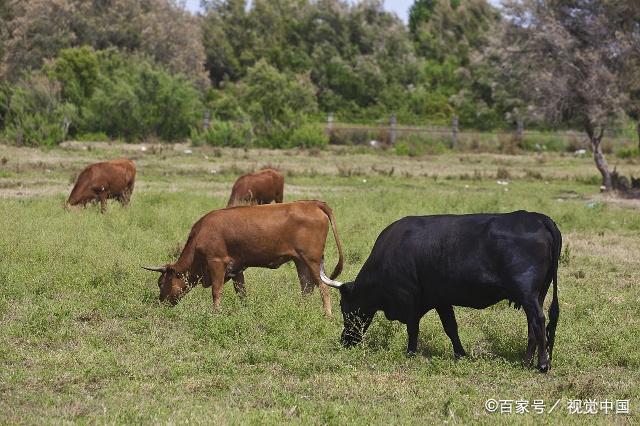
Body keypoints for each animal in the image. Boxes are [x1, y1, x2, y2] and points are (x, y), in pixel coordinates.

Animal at [144, 200, 344, 316]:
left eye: (161, 283)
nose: (160, 302)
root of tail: (312, 203)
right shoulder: (236, 269)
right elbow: (241, 293)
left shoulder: (217, 262)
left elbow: (216, 291)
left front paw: (216, 313)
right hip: (300, 261)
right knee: (306, 287)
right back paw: (300, 309)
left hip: (312, 260)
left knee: (323, 288)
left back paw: (327, 315)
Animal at [322, 211, 564, 372]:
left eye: (344, 307)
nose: (345, 340)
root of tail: (538, 218)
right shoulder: (441, 299)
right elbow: (451, 328)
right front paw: (460, 354)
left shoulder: (409, 298)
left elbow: (413, 328)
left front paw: (410, 353)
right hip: (537, 293)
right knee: (533, 325)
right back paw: (527, 361)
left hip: (527, 293)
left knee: (539, 320)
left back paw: (542, 364)